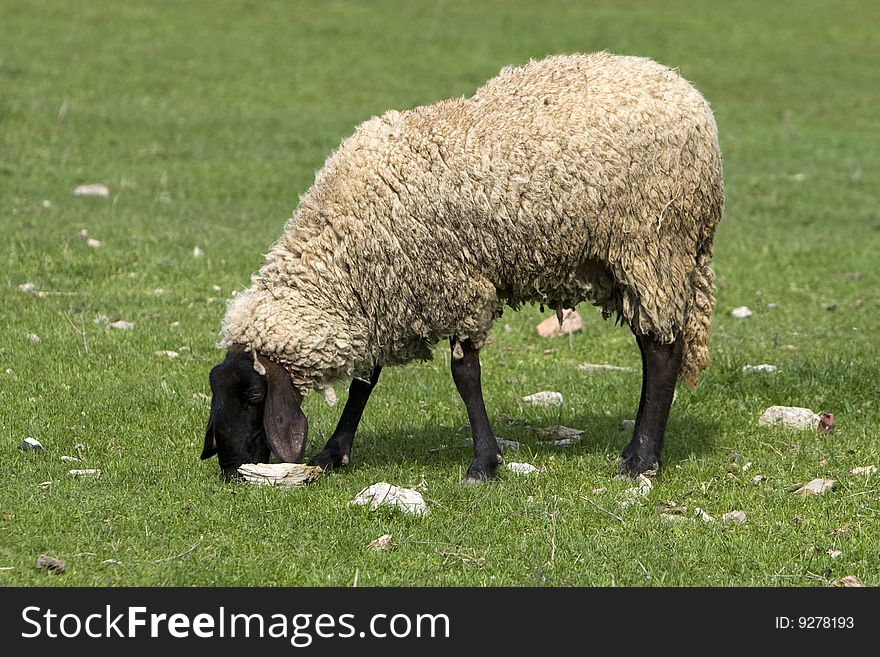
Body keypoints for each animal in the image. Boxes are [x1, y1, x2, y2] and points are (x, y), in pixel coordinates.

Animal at [201, 51, 720, 480]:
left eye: (253, 396)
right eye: (216, 393)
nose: (230, 469)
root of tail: (687, 91)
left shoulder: (454, 283)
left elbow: (465, 376)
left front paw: (483, 463)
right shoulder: (389, 291)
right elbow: (364, 383)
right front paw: (333, 453)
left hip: (653, 245)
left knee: (662, 352)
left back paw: (642, 458)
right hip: (629, 261)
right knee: (653, 345)